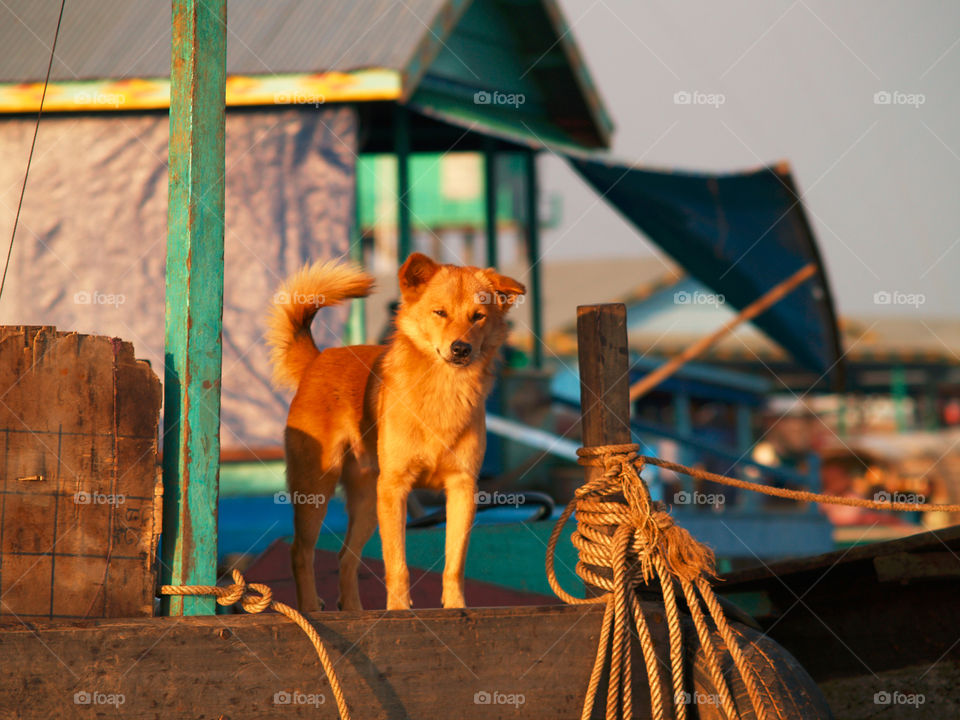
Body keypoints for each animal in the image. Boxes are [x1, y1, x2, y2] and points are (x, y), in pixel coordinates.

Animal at [268, 253, 524, 608]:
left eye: (478, 316)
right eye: (440, 312)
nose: (460, 349)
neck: (443, 391)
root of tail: (318, 359)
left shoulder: (462, 489)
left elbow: (454, 563)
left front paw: (457, 608)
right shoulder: (395, 488)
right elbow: (397, 564)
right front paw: (399, 610)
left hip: (366, 501)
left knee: (345, 558)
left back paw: (353, 609)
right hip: (316, 488)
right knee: (301, 553)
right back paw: (308, 607)